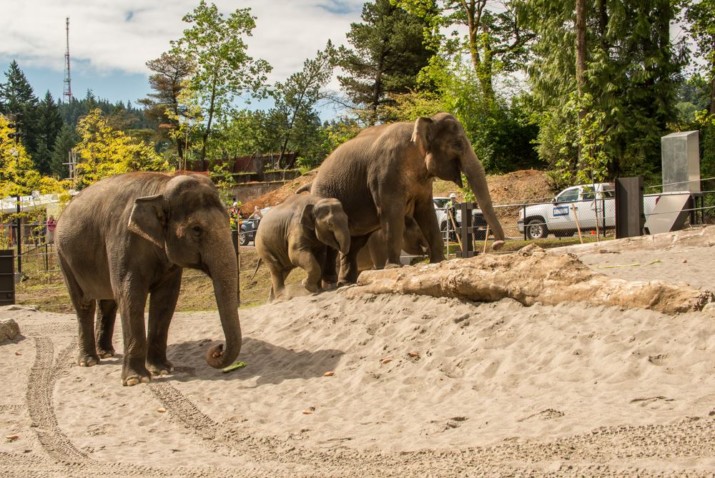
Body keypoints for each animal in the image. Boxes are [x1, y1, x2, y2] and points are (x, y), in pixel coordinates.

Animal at [53, 172, 243, 384]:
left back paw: (106, 353)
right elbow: (130, 297)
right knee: (84, 304)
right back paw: (89, 361)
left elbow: (165, 300)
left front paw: (163, 370)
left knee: (107, 303)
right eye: (196, 229)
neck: (161, 187)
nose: (218, 348)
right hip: (63, 256)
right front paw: (136, 380)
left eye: (228, 220)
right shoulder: (123, 242)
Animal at [310, 112, 506, 284]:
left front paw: (439, 261)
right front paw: (393, 267)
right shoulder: (385, 174)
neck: (418, 126)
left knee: (355, 243)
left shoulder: (423, 182)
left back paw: (345, 282)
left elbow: (426, 211)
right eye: (458, 144)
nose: (496, 245)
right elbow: (391, 213)